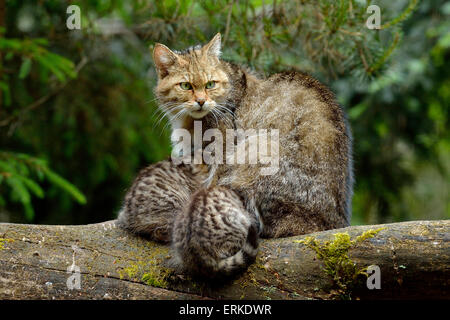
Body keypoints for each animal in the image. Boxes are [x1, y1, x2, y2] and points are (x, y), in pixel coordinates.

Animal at [117, 33, 356, 276]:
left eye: (210, 84)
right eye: (185, 85)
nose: (201, 101)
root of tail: (325, 222)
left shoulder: (220, 153)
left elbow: (208, 187)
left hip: (257, 147)